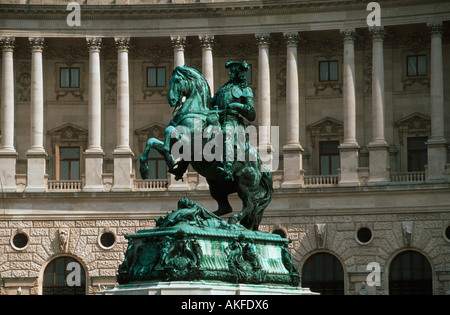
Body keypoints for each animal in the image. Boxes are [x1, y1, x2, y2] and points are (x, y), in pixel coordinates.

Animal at [141, 65, 272, 231]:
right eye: (169, 80)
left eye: (177, 80)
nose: (172, 100)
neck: (195, 113)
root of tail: (261, 165)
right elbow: (152, 141)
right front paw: (145, 168)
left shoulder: (190, 143)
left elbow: (168, 131)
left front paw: (169, 158)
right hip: (216, 184)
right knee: (225, 208)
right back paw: (203, 214)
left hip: (243, 183)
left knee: (249, 204)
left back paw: (229, 219)